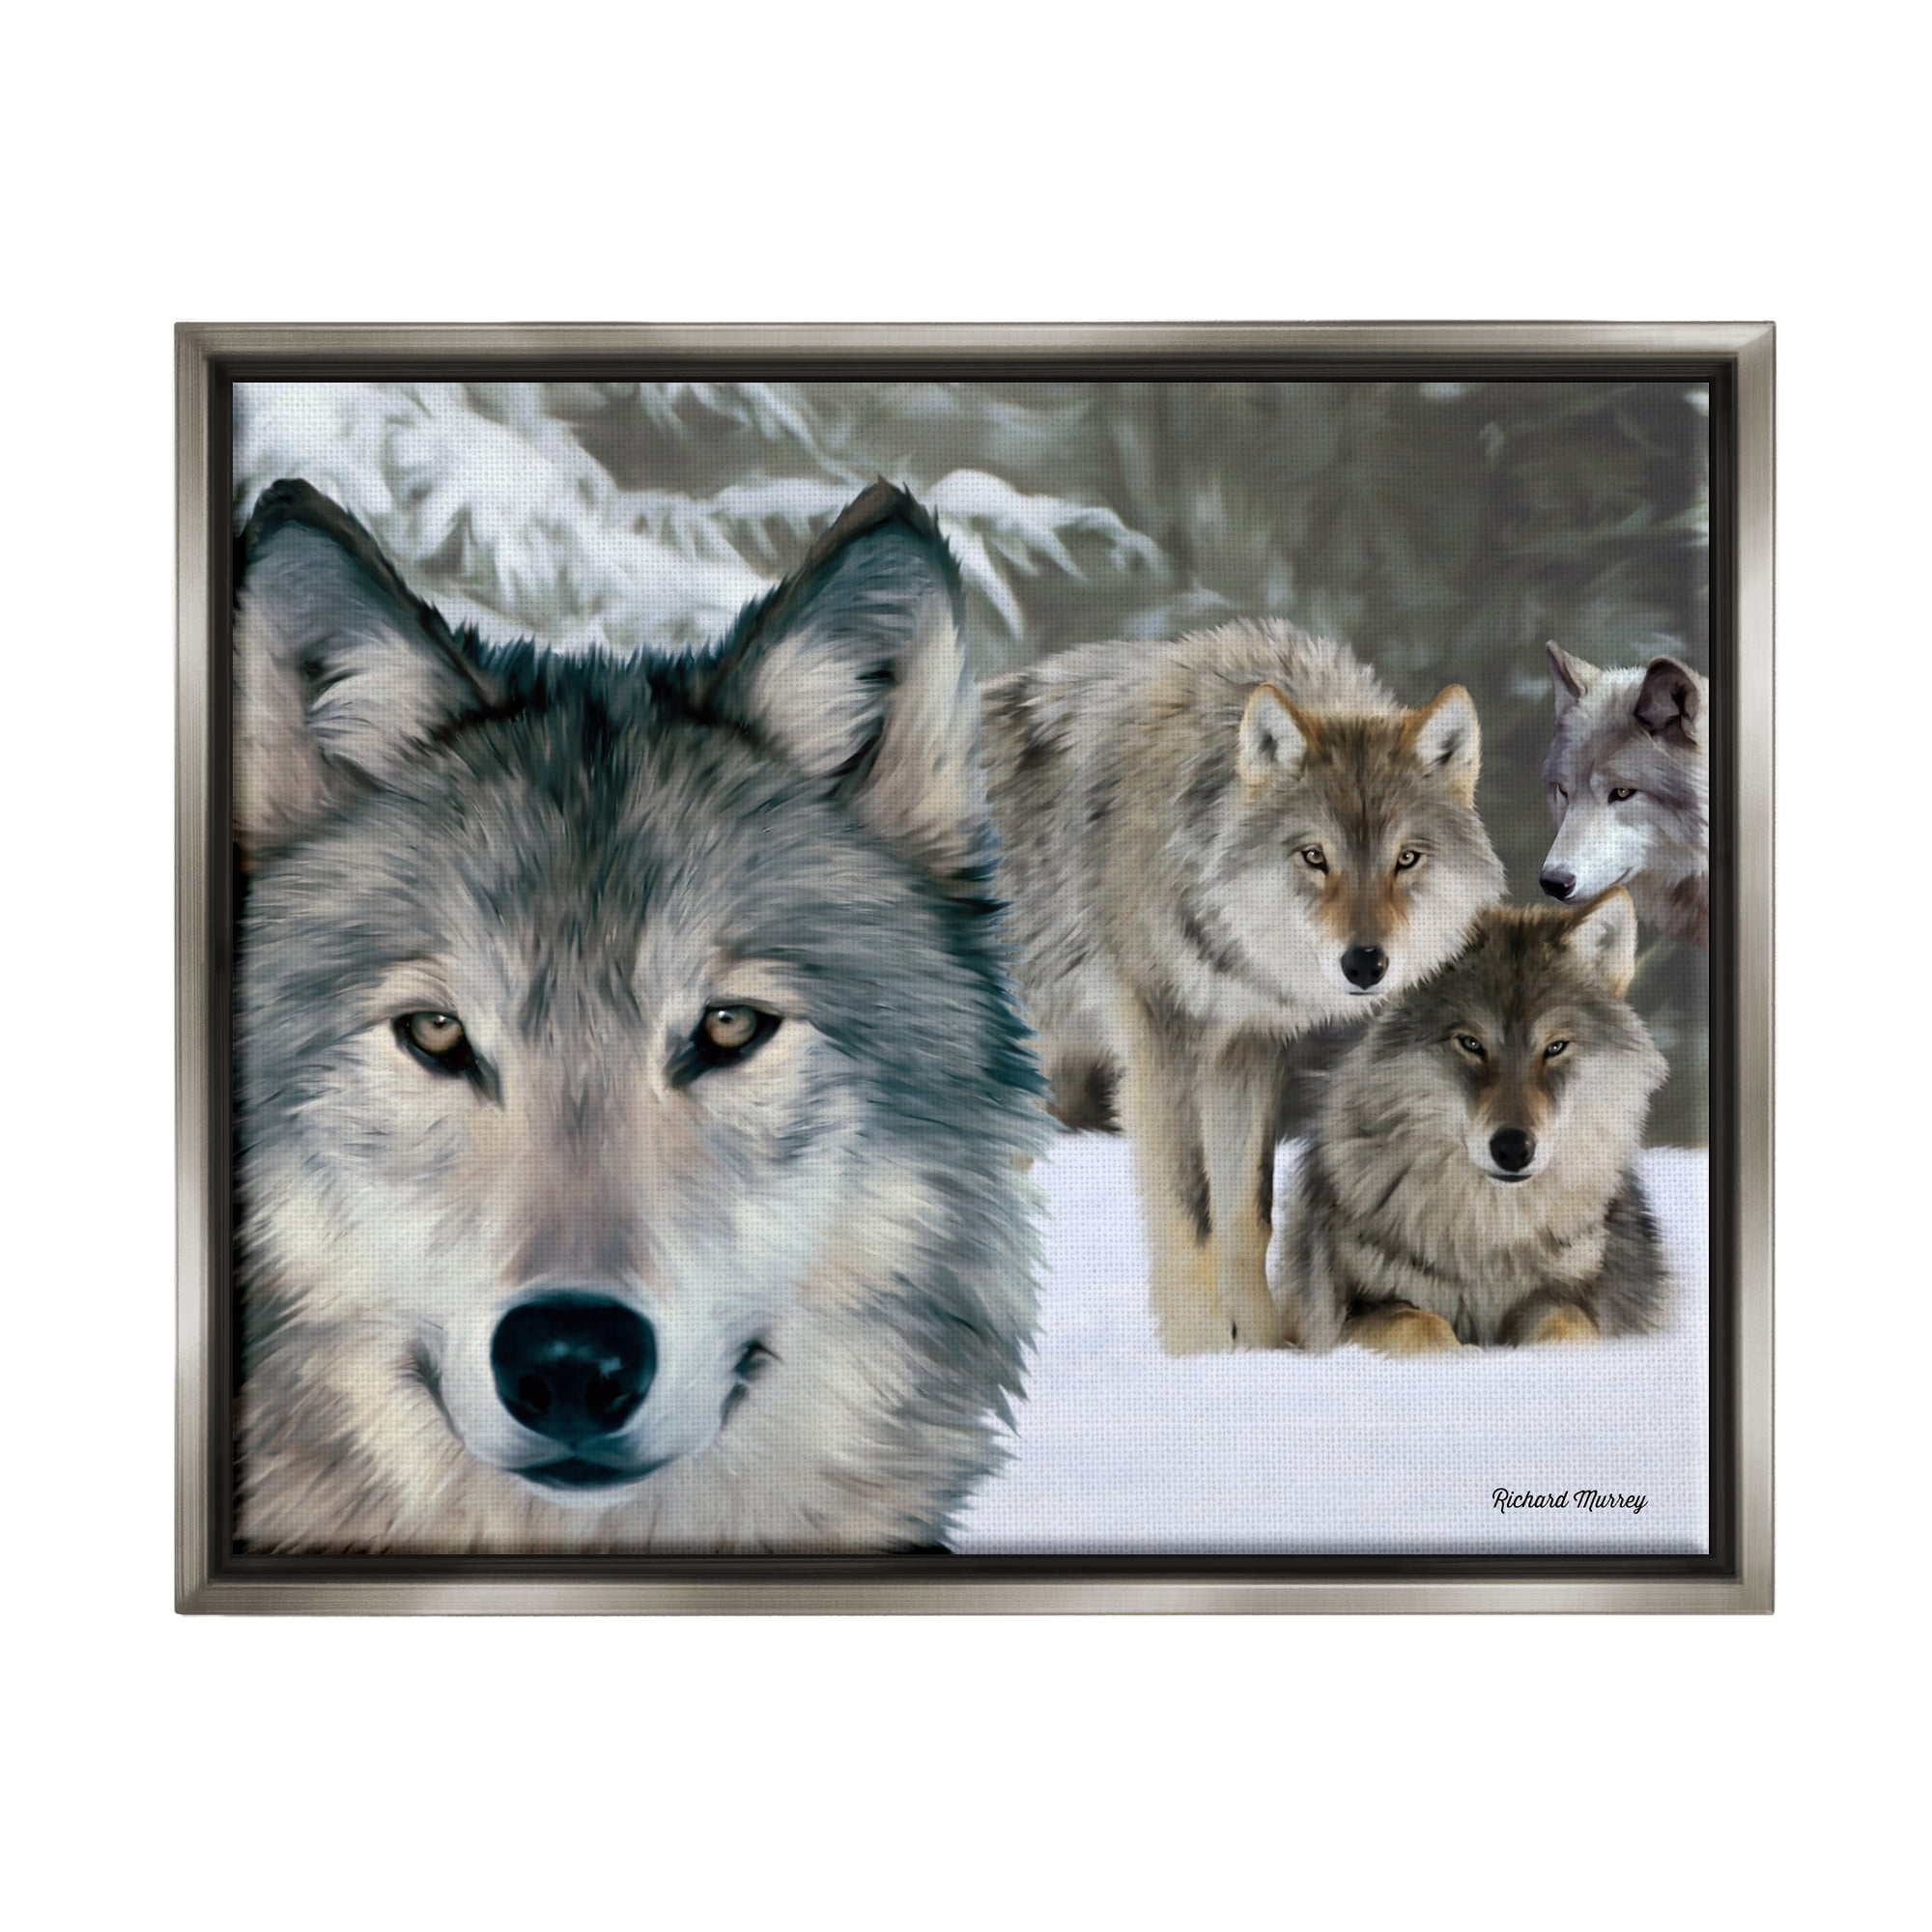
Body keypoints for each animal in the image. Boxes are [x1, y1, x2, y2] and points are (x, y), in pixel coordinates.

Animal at [982, 620, 1505, 1354]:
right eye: (1314, 856)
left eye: (1406, 859)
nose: (1365, 964)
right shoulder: (1162, 1039)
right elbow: (1192, 1215)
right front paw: (1198, 1352)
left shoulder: (1248, 1045)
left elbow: (1247, 1217)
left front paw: (1263, 1349)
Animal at [1275, 892, 1669, 1354]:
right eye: (1470, 1043)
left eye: (1555, 1047)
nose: (1513, 1148)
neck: (1491, 1237)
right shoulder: (1348, 1315)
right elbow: (1418, 1324)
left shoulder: (1570, 1296)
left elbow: (1568, 1325)